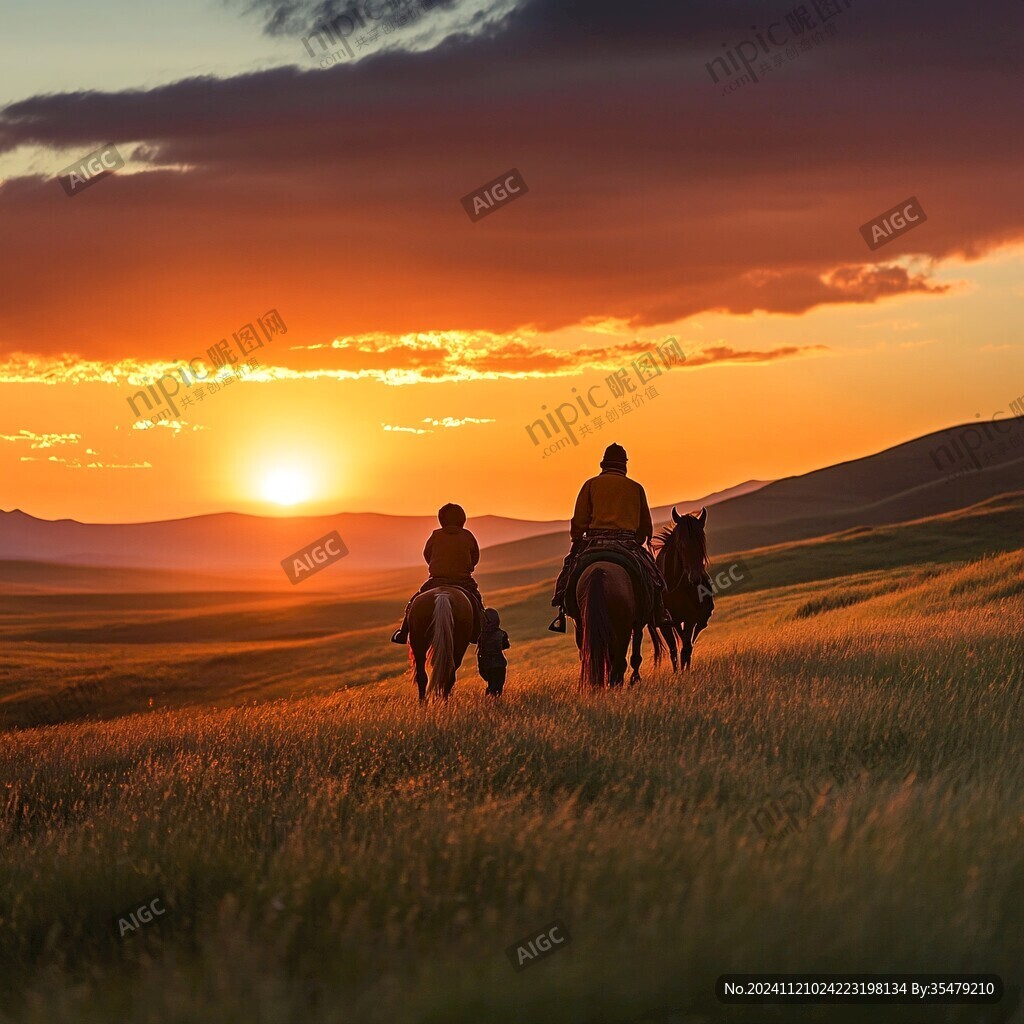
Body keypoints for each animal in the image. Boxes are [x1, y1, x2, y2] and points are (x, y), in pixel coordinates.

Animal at [655, 505, 712, 671]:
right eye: (681, 545)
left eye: (701, 543)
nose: (696, 578)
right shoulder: (667, 624)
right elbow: (675, 649)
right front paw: (677, 674)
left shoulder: (690, 619)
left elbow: (686, 647)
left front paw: (685, 672)